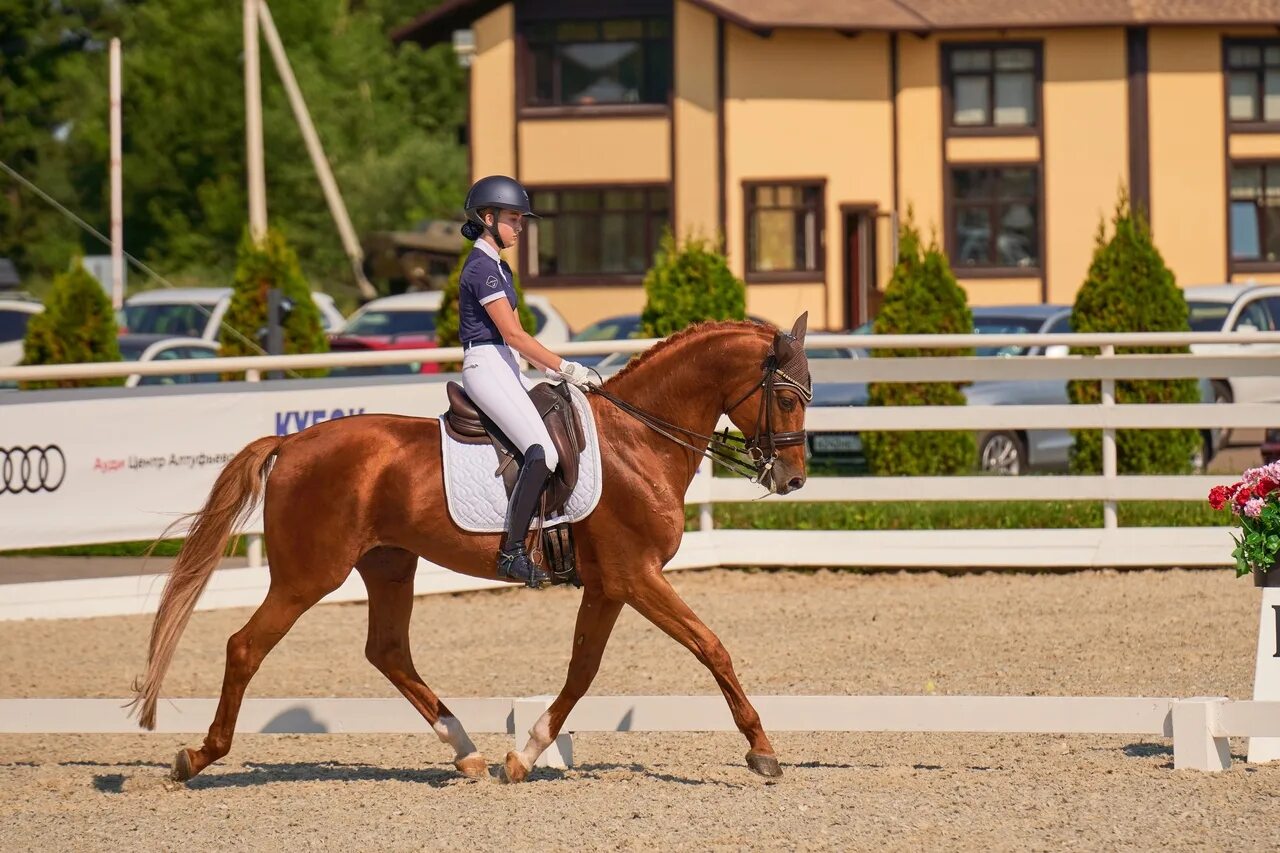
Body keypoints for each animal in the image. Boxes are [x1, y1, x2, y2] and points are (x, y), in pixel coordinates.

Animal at [129, 315, 808, 778]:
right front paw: (762, 751)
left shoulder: (611, 585)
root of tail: (292, 442)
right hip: (307, 576)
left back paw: (467, 752)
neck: (638, 439)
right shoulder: (636, 576)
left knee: (388, 651)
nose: (793, 480)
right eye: (784, 396)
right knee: (246, 647)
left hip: (389, 565)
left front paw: (525, 755)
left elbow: (582, 670)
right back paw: (198, 756)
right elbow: (711, 647)